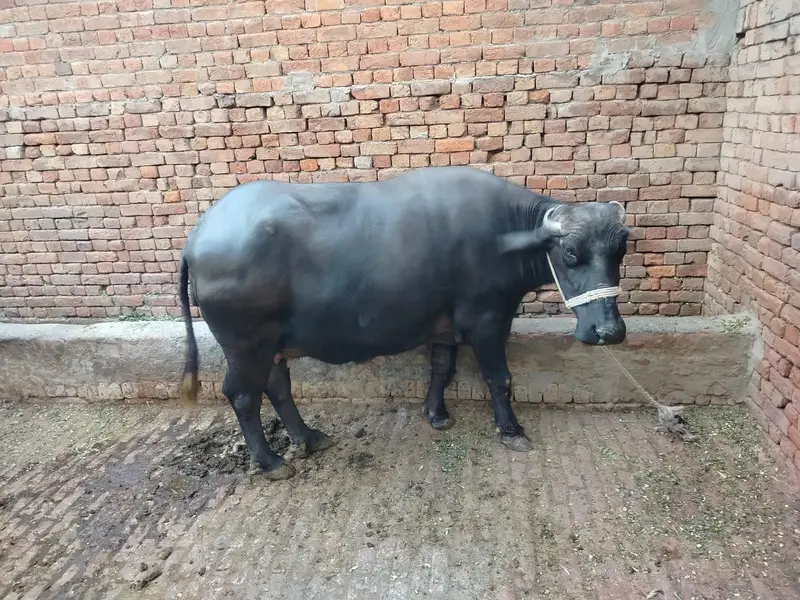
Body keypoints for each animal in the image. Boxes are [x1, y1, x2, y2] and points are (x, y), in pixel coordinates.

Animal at [178, 166, 630, 480]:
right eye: (570, 252)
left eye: (619, 251)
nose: (609, 331)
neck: (505, 233)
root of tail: (199, 233)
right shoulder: (488, 320)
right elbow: (497, 377)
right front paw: (511, 430)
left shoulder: (446, 326)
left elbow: (442, 369)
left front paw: (437, 414)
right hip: (245, 345)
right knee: (243, 396)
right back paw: (271, 462)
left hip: (273, 344)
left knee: (277, 387)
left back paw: (309, 438)